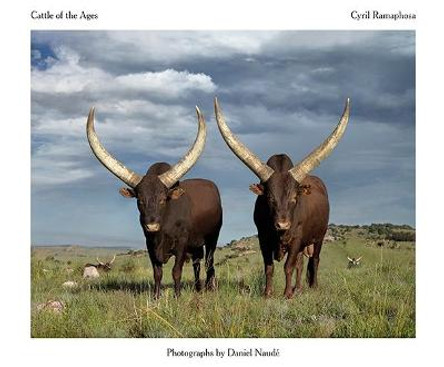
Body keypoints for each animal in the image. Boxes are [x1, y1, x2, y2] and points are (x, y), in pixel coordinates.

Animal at [86, 106, 222, 300]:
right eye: (140, 200)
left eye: (163, 199)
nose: (151, 226)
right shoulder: (149, 244)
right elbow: (157, 273)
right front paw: (156, 297)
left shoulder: (181, 243)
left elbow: (176, 271)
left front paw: (177, 296)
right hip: (196, 244)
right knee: (197, 263)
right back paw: (198, 288)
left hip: (212, 237)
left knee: (209, 262)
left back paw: (209, 288)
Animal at [215, 97, 350, 300]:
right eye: (269, 197)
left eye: (294, 197)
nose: (282, 224)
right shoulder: (263, 238)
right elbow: (269, 267)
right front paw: (268, 293)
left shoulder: (296, 239)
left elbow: (288, 266)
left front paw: (287, 294)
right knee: (301, 265)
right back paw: (298, 288)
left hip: (319, 236)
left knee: (314, 260)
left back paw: (312, 287)